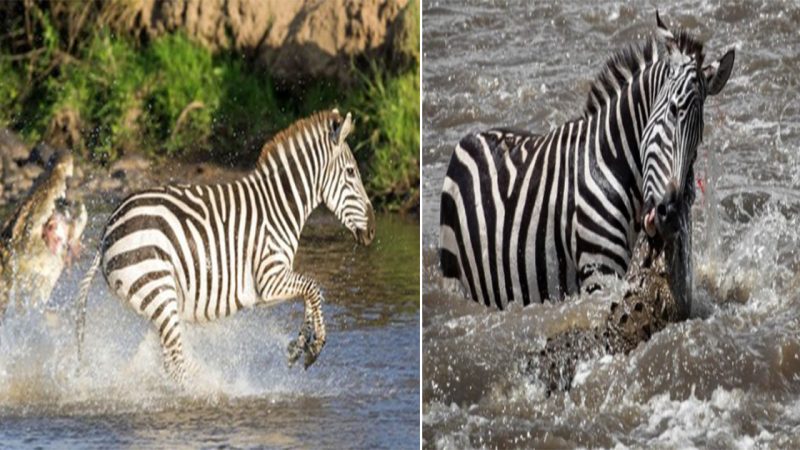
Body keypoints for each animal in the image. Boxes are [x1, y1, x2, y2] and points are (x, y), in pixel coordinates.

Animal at [75, 110, 376, 382]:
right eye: (351, 172)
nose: (372, 231)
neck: (278, 207)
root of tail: (108, 229)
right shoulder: (268, 278)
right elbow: (313, 288)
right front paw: (315, 345)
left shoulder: (272, 284)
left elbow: (310, 293)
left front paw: (299, 345)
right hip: (158, 291)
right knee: (176, 363)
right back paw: (210, 389)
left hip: (156, 300)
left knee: (165, 357)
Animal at [440, 13, 736, 310]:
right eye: (673, 111)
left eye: (698, 137)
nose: (671, 214)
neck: (609, 163)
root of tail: (471, 136)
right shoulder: (599, 273)